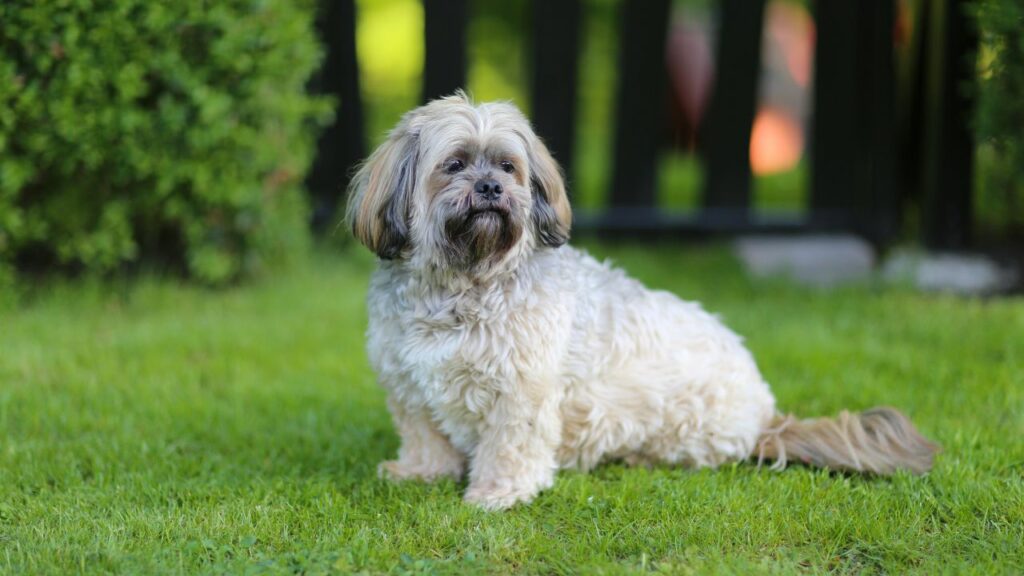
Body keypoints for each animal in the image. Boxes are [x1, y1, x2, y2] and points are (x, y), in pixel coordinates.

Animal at [348, 91, 937, 508]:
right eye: (454, 164)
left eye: (508, 166)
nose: (491, 188)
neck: (461, 283)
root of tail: (766, 415)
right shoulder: (408, 388)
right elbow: (425, 439)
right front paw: (419, 473)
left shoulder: (521, 394)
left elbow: (511, 446)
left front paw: (496, 494)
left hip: (680, 420)